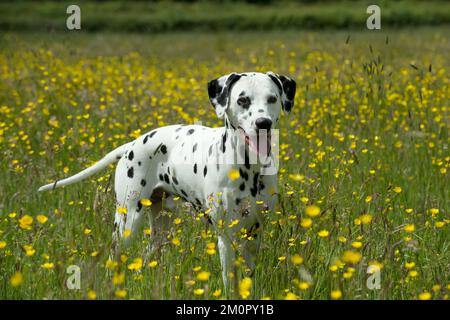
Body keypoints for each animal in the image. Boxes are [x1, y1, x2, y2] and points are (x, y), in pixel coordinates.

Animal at [38, 72, 298, 290]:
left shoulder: (254, 232)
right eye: (243, 100)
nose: (263, 123)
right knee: (114, 256)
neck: (249, 168)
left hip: (161, 225)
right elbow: (229, 280)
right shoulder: (227, 236)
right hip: (127, 221)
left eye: (272, 98)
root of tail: (132, 144)